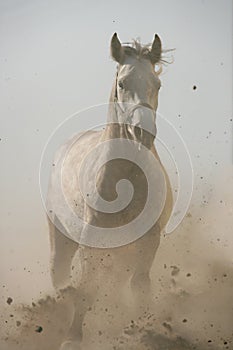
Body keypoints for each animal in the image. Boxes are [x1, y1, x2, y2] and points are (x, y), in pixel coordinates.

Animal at [46, 32, 172, 348]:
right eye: (122, 83)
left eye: (157, 84)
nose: (144, 132)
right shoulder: (91, 241)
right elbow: (87, 286)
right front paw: (72, 338)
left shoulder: (148, 240)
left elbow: (140, 285)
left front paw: (143, 332)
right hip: (61, 235)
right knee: (60, 275)